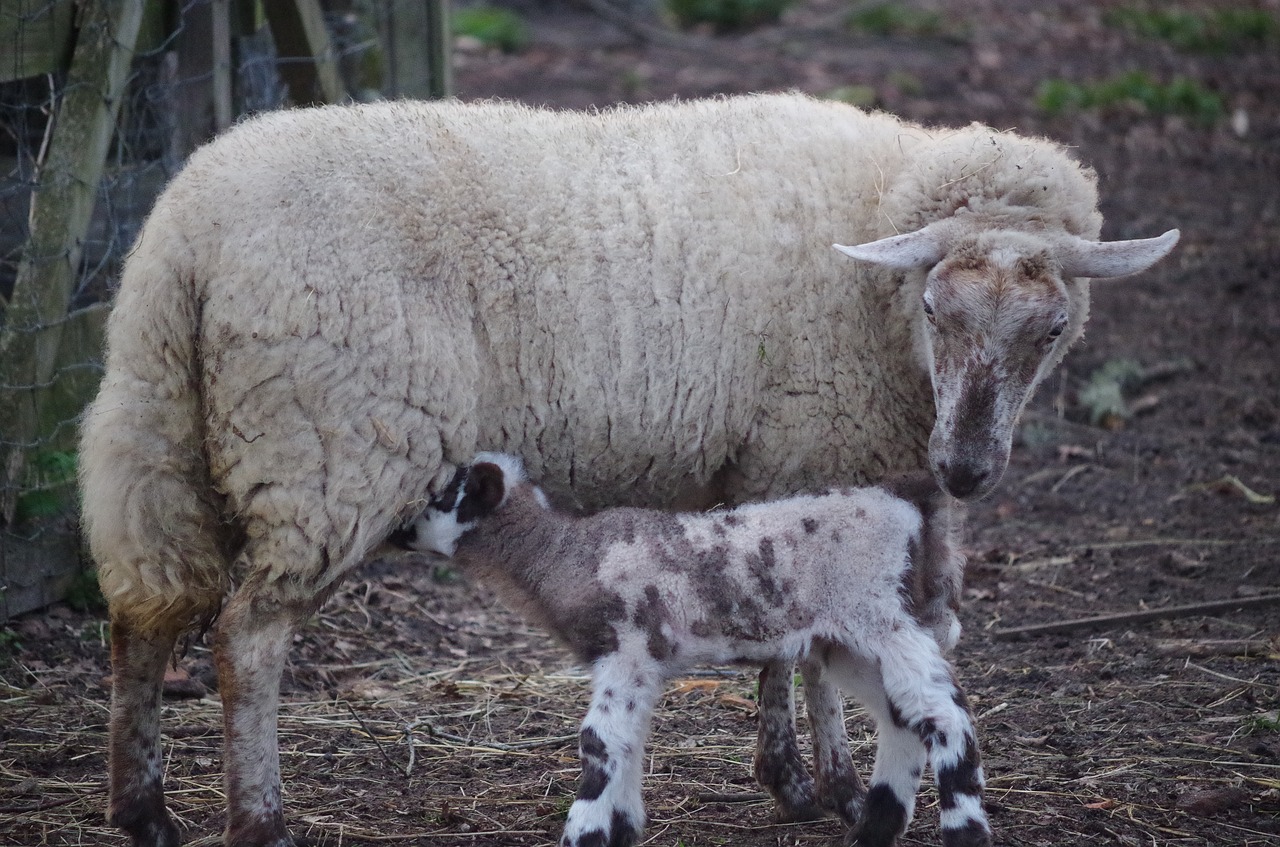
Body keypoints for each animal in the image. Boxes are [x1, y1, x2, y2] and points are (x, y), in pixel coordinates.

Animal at [394, 455, 983, 847]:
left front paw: (584, 833)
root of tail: (905, 505)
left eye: (442, 496)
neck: (563, 555)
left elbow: (599, 741)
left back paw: (964, 829)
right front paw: (623, 827)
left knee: (946, 712)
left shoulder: (628, 648)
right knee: (903, 718)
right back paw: (873, 830)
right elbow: (628, 741)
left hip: (878, 615)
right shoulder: (640, 664)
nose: (397, 529)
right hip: (844, 640)